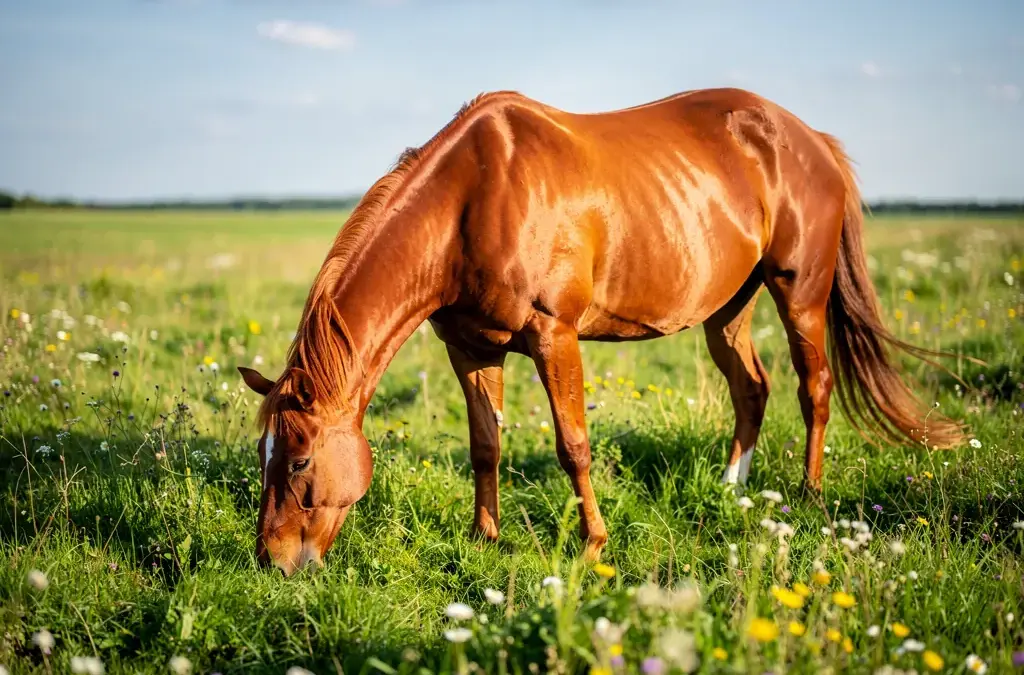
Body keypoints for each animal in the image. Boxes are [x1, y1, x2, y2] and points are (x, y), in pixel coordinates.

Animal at [237, 87, 964, 576]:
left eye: (298, 461)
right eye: (263, 454)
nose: (272, 560)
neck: (470, 200)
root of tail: (811, 138)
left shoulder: (554, 336)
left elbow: (573, 446)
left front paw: (592, 545)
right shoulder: (470, 346)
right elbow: (484, 446)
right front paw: (484, 537)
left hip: (799, 292)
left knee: (813, 385)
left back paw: (809, 498)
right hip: (729, 307)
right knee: (752, 389)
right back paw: (731, 491)